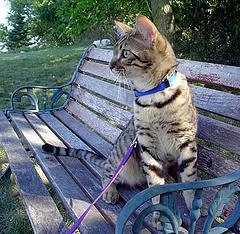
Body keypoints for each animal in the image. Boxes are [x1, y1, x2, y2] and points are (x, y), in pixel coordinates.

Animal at [42, 15, 198, 230]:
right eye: (113, 52)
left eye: (124, 53)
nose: (109, 65)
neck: (154, 97)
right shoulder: (146, 147)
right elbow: (155, 187)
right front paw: (158, 216)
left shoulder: (186, 144)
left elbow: (190, 182)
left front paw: (194, 210)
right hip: (122, 158)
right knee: (106, 174)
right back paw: (110, 191)